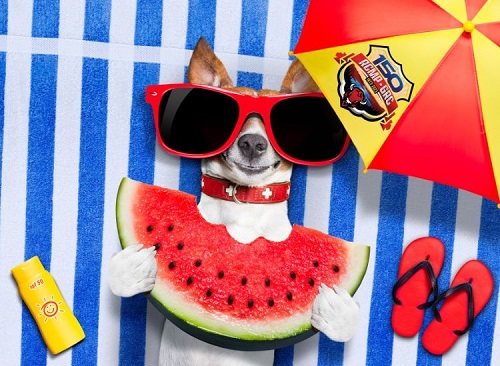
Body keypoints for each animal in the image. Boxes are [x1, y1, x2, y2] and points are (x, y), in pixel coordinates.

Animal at [109, 37, 360, 366]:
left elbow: (348, 327)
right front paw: (130, 268)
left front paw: (337, 311)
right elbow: (114, 279)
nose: (252, 143)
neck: (244, 203)